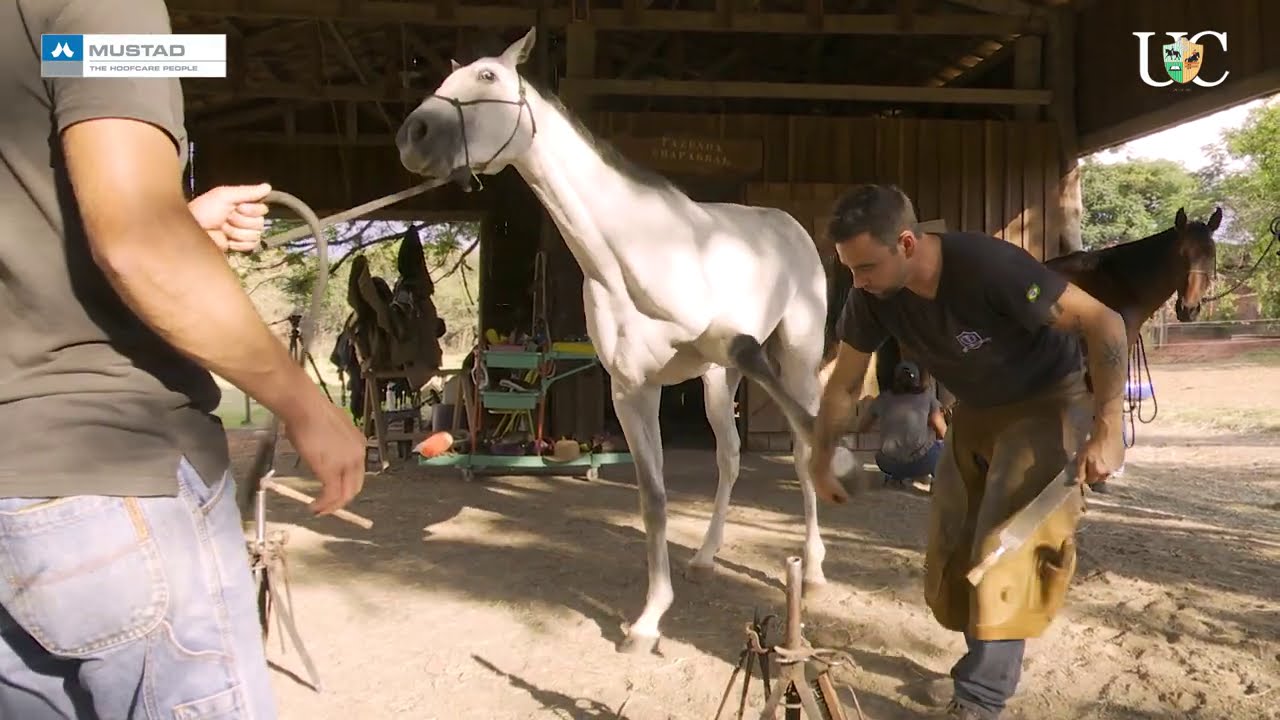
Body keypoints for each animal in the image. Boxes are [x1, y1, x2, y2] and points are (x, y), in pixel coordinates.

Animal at [395, 27, 835, 654]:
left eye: (487, 77)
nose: (415, 135)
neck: (633, 253)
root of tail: (789, 224)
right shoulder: (632, 391)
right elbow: (653, 499)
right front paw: (649, 620)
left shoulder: (718, 353)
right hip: (716, 383)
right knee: (728, 456)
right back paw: (705, 558)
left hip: (794, 357)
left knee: (801, 449)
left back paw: (815, 566)